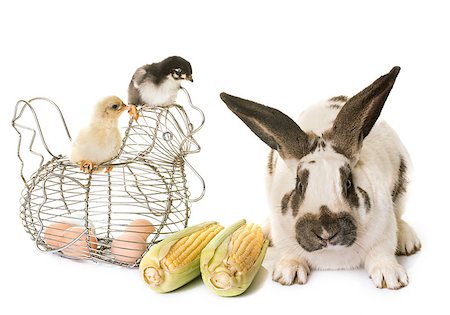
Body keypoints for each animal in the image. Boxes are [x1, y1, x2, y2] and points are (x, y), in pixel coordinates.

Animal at [220, 67, 420, 292]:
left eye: (348, 183)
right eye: (299, 185)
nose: (325, 232)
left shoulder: (384, 230)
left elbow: (381, 253)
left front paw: (390, 277)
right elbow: (289, 253)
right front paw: (288, 272)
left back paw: (408, 241)